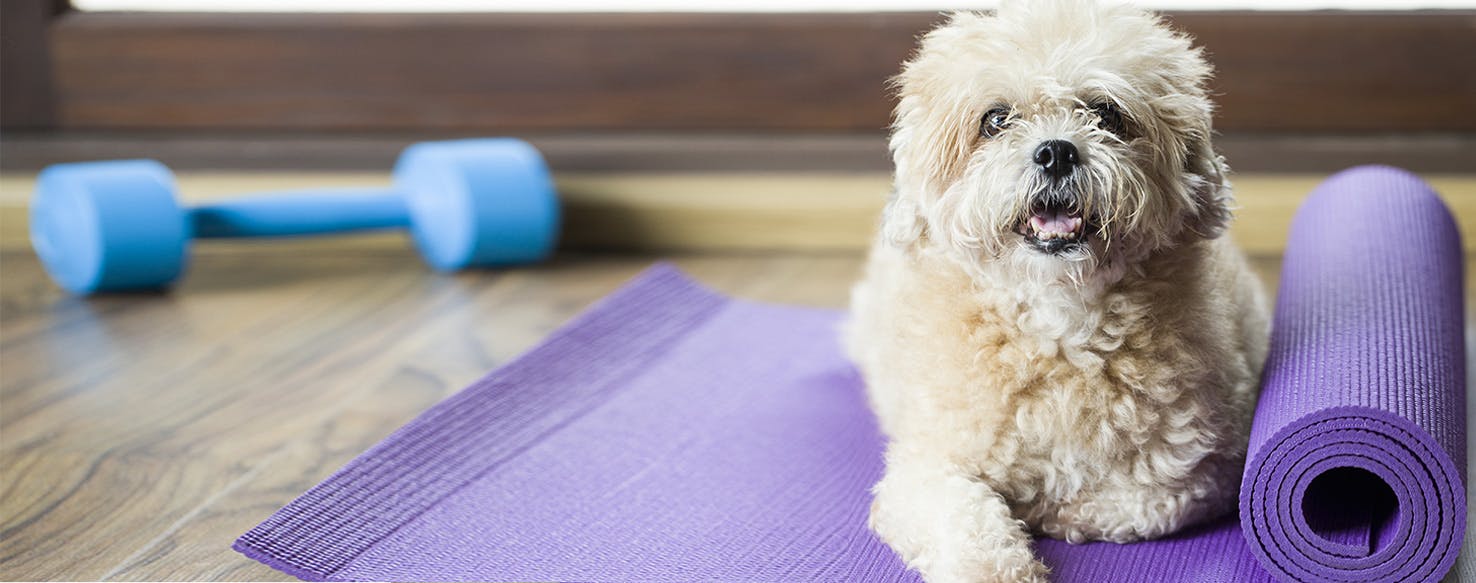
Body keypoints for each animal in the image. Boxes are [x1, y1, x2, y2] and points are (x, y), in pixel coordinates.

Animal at [850, 2, 1275, 581]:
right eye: (995, 120)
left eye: (1107, 114)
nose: (1056, 152)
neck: (1059, 324)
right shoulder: (925, 469)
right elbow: (968, 526)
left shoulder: (1204, 469)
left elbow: (1134, 503)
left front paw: (1049, 508)